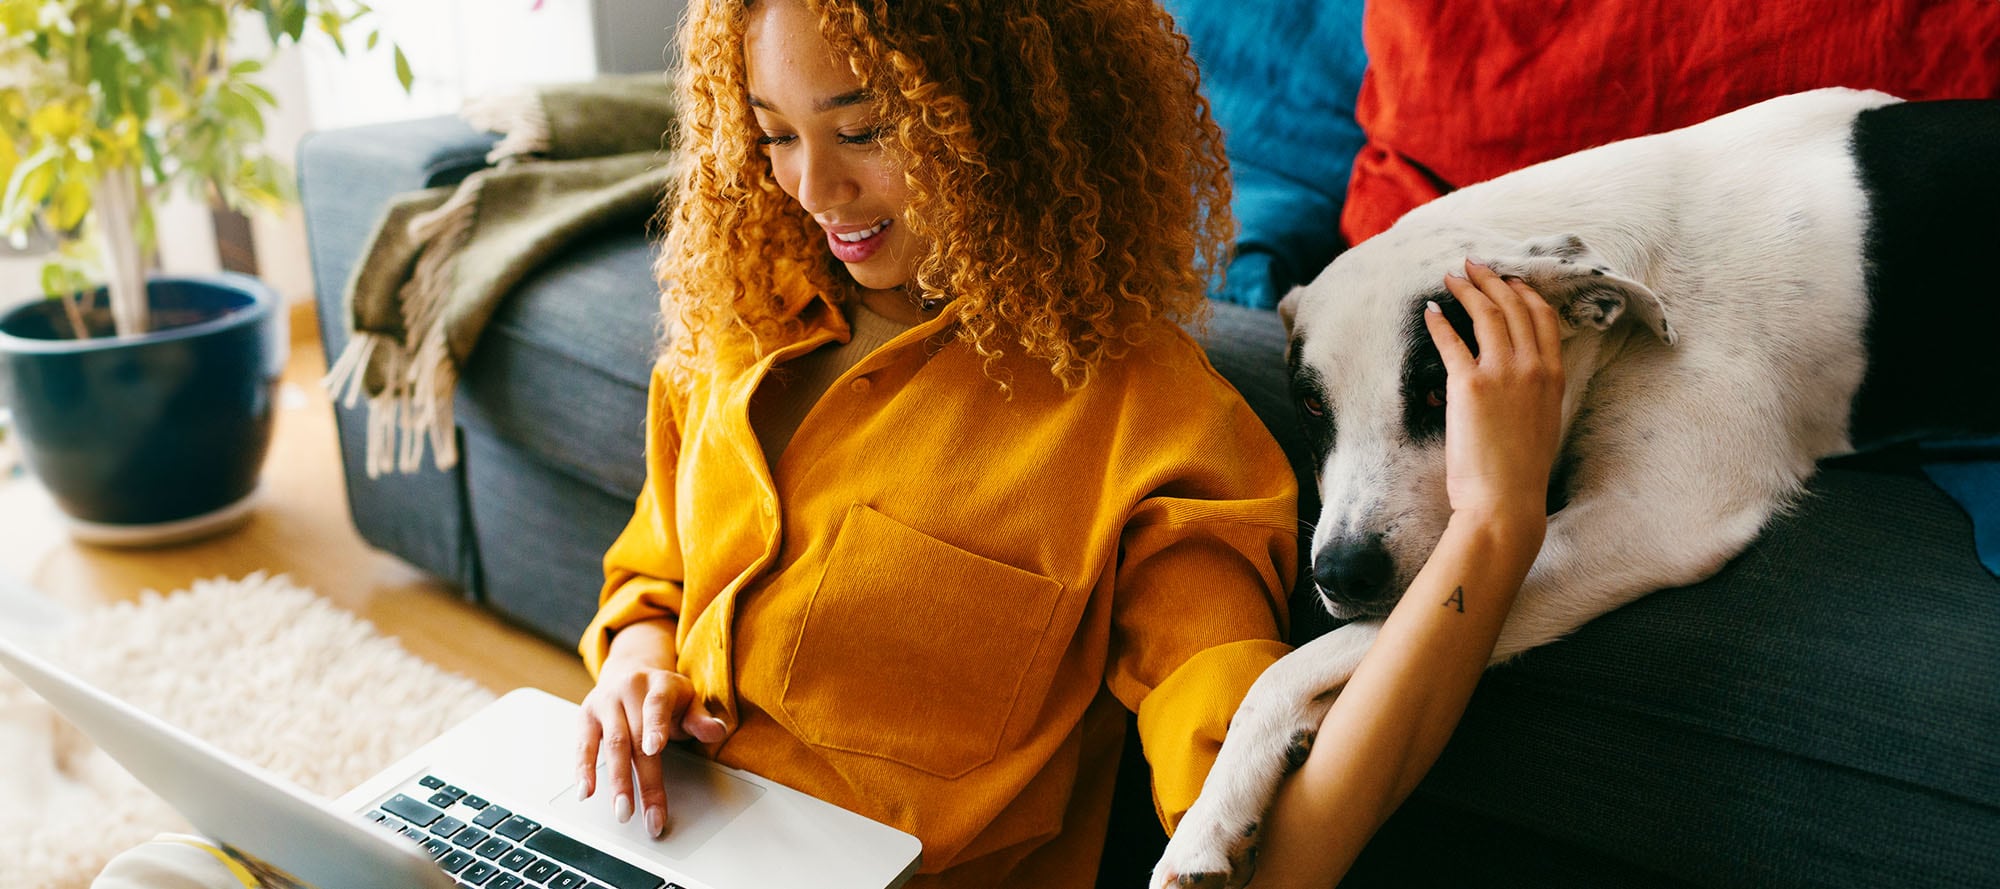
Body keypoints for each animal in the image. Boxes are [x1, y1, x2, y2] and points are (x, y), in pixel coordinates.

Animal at [1160, 86, 2000, 884]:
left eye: (1438, 390)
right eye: (1310, 406)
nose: (1341, 573)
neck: (1650, 263)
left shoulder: (1648, 521)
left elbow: (1287, 669)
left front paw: (1209, 816)